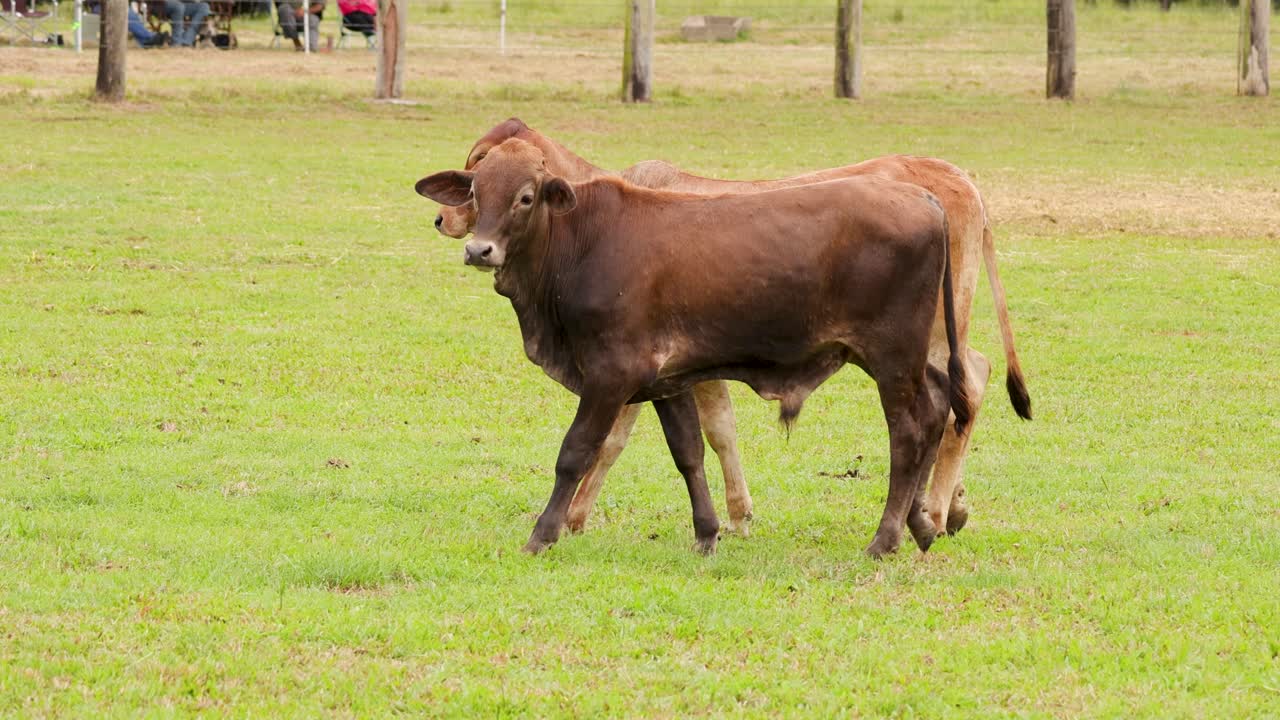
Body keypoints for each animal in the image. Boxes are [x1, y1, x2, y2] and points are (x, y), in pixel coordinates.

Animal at [434, 119, 1031, 538]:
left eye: (523, 195)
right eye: (473, 184)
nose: (457, 231)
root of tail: (949, 185)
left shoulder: (623, 367)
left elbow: (601, 443)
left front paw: (565, 522)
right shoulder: (677, 373)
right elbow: (701, 441)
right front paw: (724, 522)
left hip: (914, 342)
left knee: (944, 405)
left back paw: (914, 520)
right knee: (954, 396)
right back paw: (937, 513)